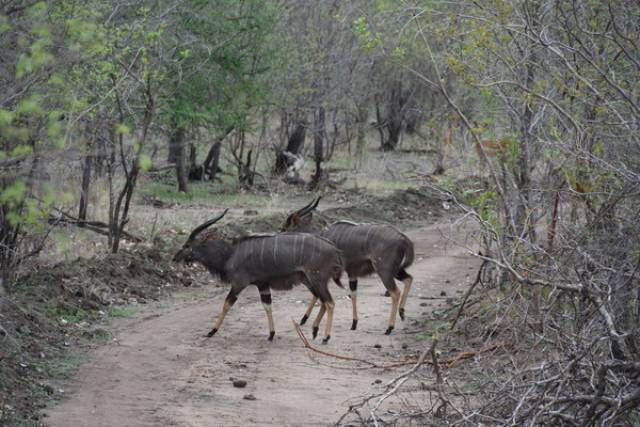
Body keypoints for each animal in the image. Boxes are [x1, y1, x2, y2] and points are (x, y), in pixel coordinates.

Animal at [282, 199, 416, 336]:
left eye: (285, 227)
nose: (281, 235)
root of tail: (403, 238)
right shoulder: (352, 273)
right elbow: (353, 294)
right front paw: (354, 323)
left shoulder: (322, 273)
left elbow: (319, 294)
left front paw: (304, 319)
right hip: (395, 270)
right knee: (409, 278)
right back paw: (402, 312)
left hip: (384, 271)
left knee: (395, 292)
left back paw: (389, 328)